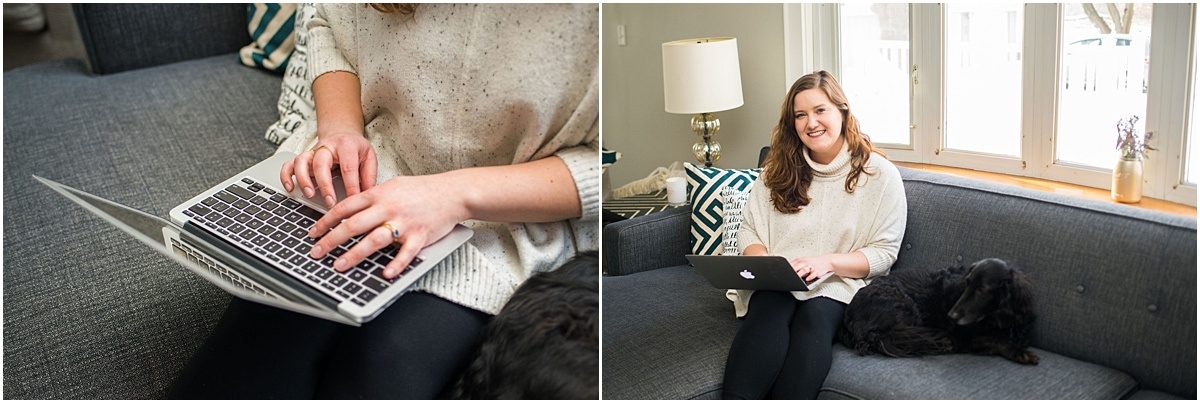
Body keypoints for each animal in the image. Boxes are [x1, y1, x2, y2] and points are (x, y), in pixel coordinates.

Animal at [835, 257, 1041, 364]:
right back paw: (941, 342)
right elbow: (997, 340)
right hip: (905, 307)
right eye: (967, 284)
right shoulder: (967, 336)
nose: (951, 315)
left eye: (982, 291)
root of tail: (848, 319)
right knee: (892, 336)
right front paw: (1020, 352)